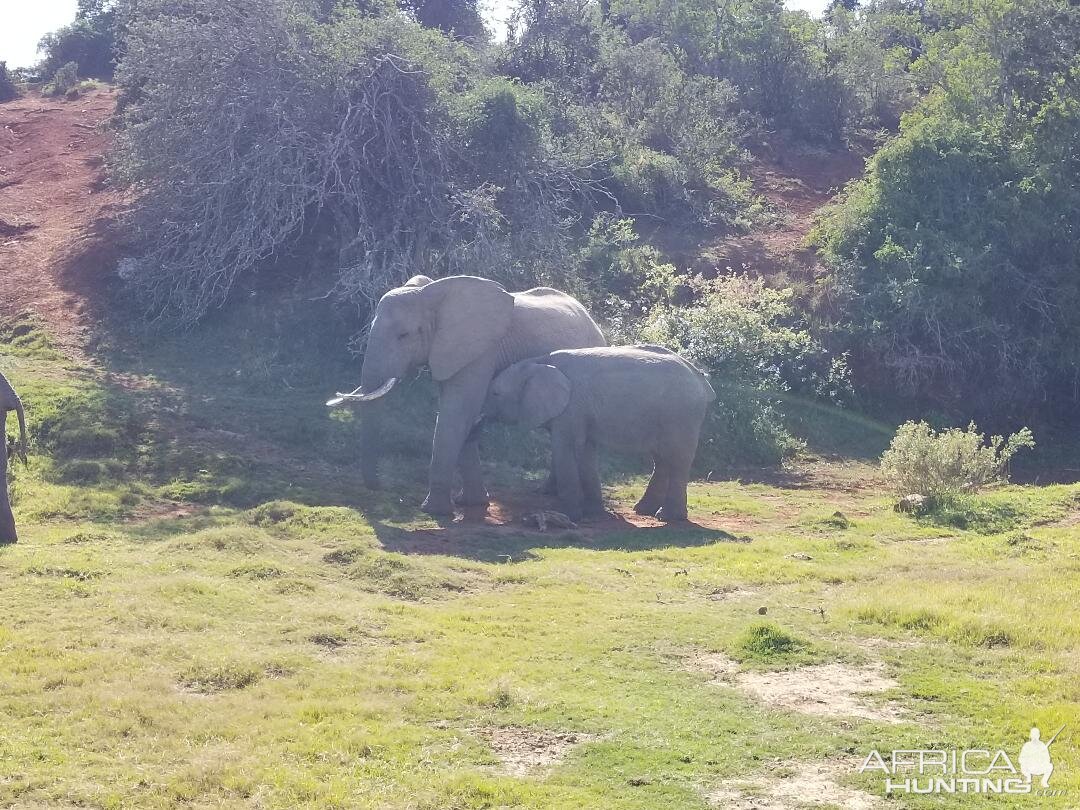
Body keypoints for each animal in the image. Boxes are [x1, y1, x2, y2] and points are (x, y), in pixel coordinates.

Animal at [328, 273, 604, 514]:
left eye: (403, 335)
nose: (381, 487)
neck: (432, 295)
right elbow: (461, 415)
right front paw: (471, 503)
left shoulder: (480, 350)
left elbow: (457, 411)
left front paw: (435, 511)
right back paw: (547, 491)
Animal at [486, 345, 712, 522]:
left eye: (495, 393)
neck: (539, 361)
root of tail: (701, 379)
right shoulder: (581, 411)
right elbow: (586, 450)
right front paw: (592, 512)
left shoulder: (572, 407)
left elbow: (566, 448)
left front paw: (568, 514)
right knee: (662, 459)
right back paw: (643, 511)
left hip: (681, 415)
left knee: (677, 459)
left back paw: (667, 517)